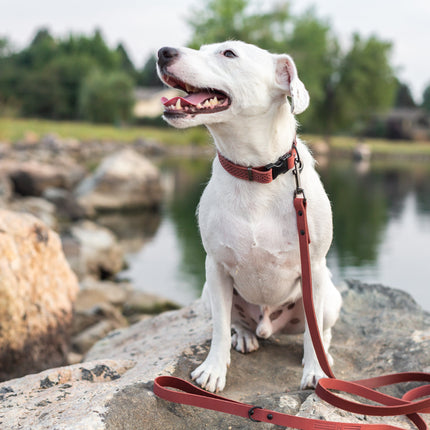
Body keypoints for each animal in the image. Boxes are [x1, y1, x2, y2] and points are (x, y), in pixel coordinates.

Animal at [156, 41, 340, 394]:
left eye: (229, 53)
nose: (163, 52)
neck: (255, 172)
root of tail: (269, 326)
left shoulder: (314, 266)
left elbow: (312, 335)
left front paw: (316, 371)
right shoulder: (215, 267)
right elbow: (218, 327)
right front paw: (214, 369)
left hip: (331, 296)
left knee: (319, 329)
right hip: (207, 295)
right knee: (235, 321)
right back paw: (243, 335)